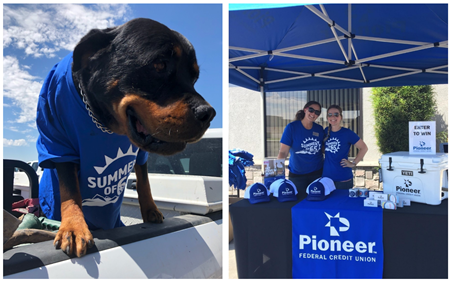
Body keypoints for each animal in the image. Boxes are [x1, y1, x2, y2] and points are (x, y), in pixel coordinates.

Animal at [36, 18, 215, 258]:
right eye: (160, 65)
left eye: (194, 77)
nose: (208, 114)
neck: (103, 121)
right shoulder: (56, 139)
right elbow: (70, 189)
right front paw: (73, 227)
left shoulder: (141, 153)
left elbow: (144, 180)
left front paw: (150, 210)